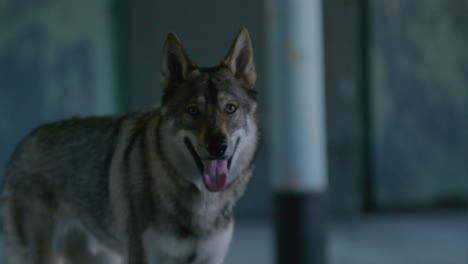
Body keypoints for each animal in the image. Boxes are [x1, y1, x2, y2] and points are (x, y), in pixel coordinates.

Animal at [0, 27, 260, 264]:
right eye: (193, 111)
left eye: (230, 108)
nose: (218, 146)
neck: (204, 203)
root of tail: (25, 141)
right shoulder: (142, 257)